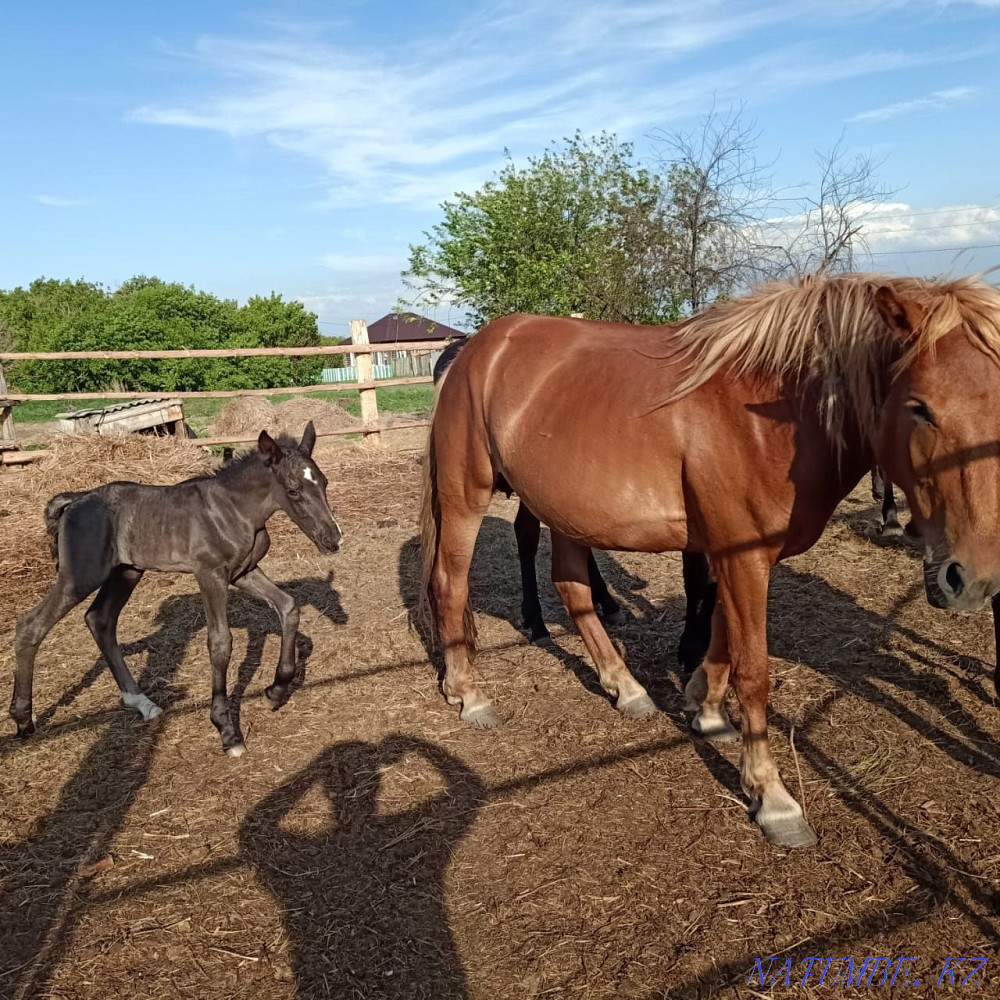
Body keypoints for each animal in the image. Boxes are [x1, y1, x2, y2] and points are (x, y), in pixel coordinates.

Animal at [10, 422, 342, 756]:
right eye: (293, 490)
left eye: (324, 483)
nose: (333, 540)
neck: (233, 510)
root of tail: (75, 500)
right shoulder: (210, 575)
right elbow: (220, 643)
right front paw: (227, 731)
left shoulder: (244, 573)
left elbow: (288, 607)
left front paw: (275, 690)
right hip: (79, 578)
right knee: (31, 625)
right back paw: (23, 720)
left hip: (126, 572)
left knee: (100, 619)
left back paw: (142, 702)